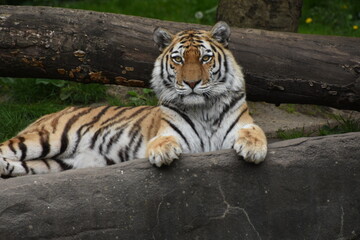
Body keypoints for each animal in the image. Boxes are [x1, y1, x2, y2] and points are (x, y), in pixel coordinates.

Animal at [0, 21, 264, 178]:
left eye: (205, 58)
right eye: (178, 59)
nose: (191, 83)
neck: (203, 109)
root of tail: (47, 114)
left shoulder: (243, 124)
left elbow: (253, 132)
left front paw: (253, 149)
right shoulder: (170, 133)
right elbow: (163, 140)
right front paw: (163, 153)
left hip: (57, 164)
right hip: (48, 138)